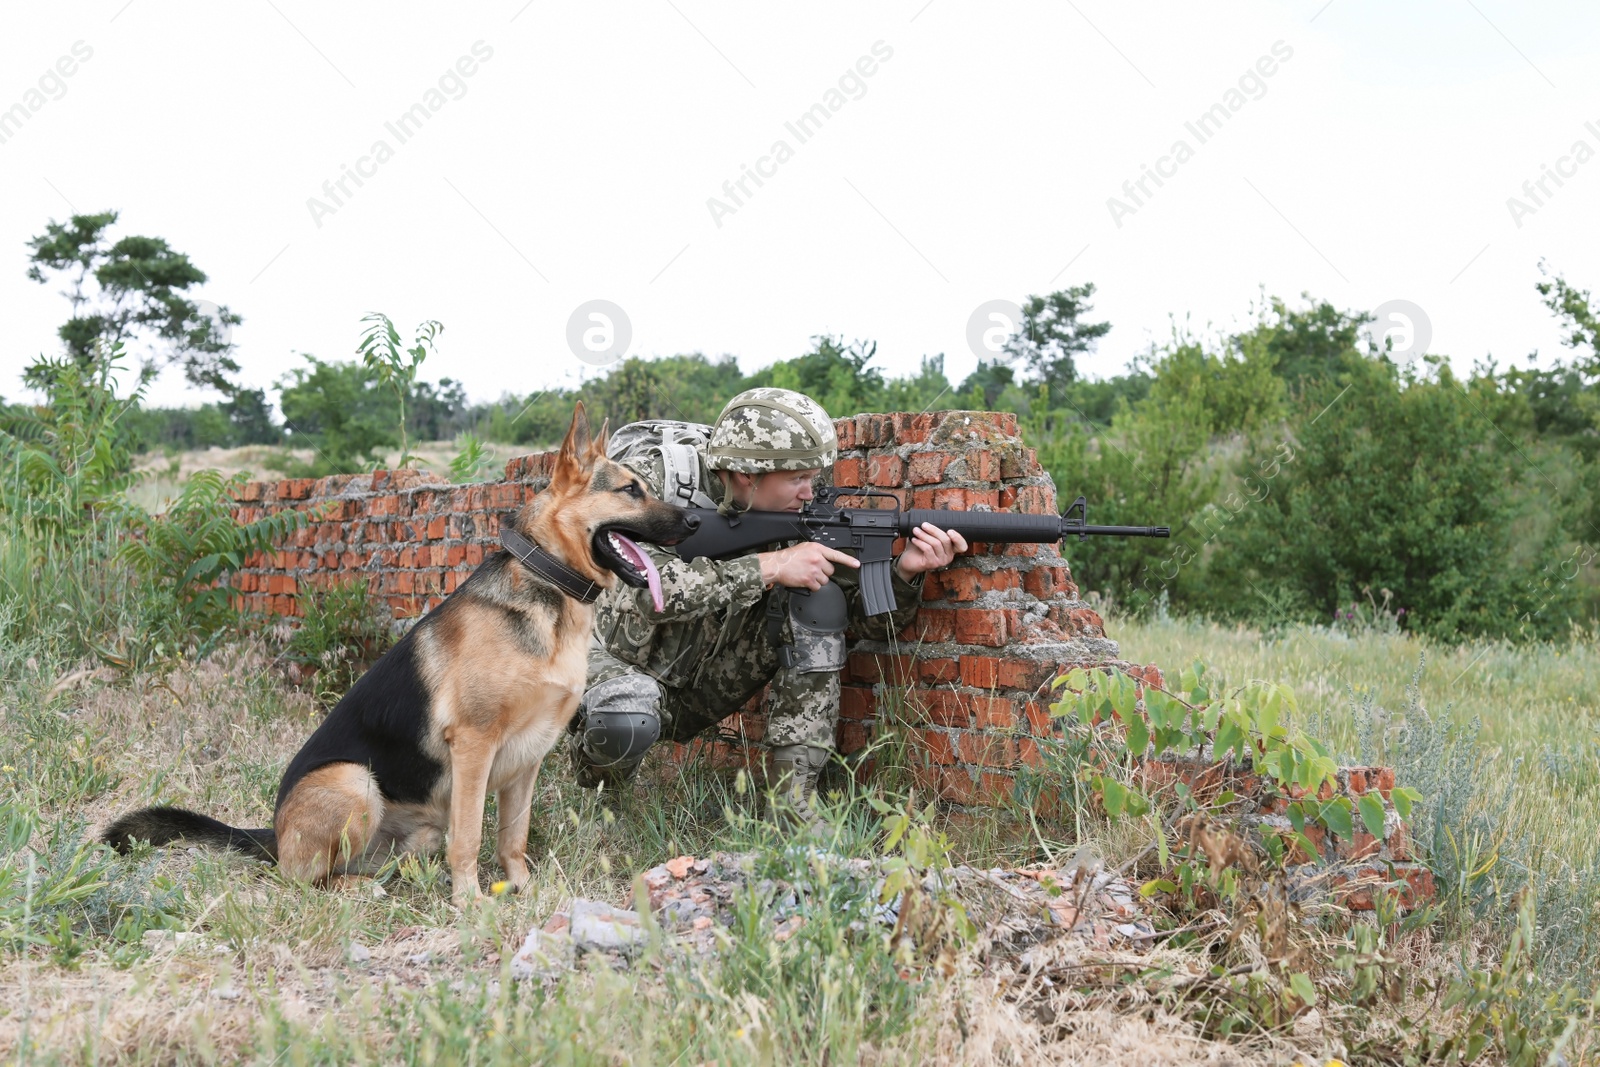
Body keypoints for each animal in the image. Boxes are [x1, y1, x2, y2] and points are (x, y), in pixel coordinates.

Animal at [101, 404, 694, 908]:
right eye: (630, 490)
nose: (694, 524)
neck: (548, 584)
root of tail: (276, 832)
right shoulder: (475, 746)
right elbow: (470, 836)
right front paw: (470, 903)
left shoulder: (527, 759)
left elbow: (513, 838)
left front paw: (521, 889)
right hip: (355, 783)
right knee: (300, 879)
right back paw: (354, 891)